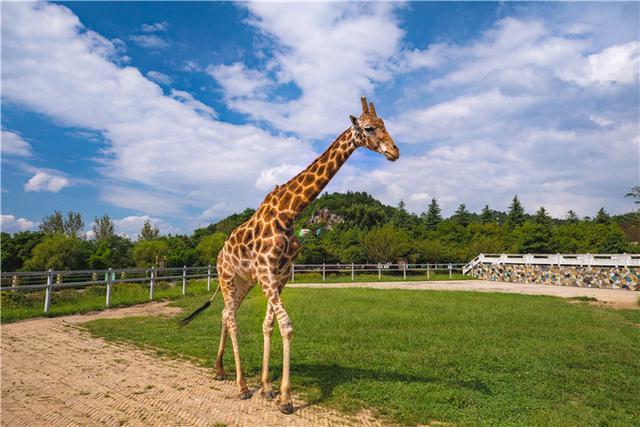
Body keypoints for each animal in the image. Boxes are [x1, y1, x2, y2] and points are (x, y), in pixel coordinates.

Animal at [181, 96, 400, 414]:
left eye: (385, 124)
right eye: (370, 128)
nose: (394, 151)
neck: (289, 212)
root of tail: (219, 254)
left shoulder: (280, 274)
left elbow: (269, 325)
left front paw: (268, 388)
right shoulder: (266, 272)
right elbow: (286, 325)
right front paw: (285, 398)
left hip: (244, 281)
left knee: (225, 313)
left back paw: (220, 370)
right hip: (226, 277)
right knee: (231, 317)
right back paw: (241, 386)